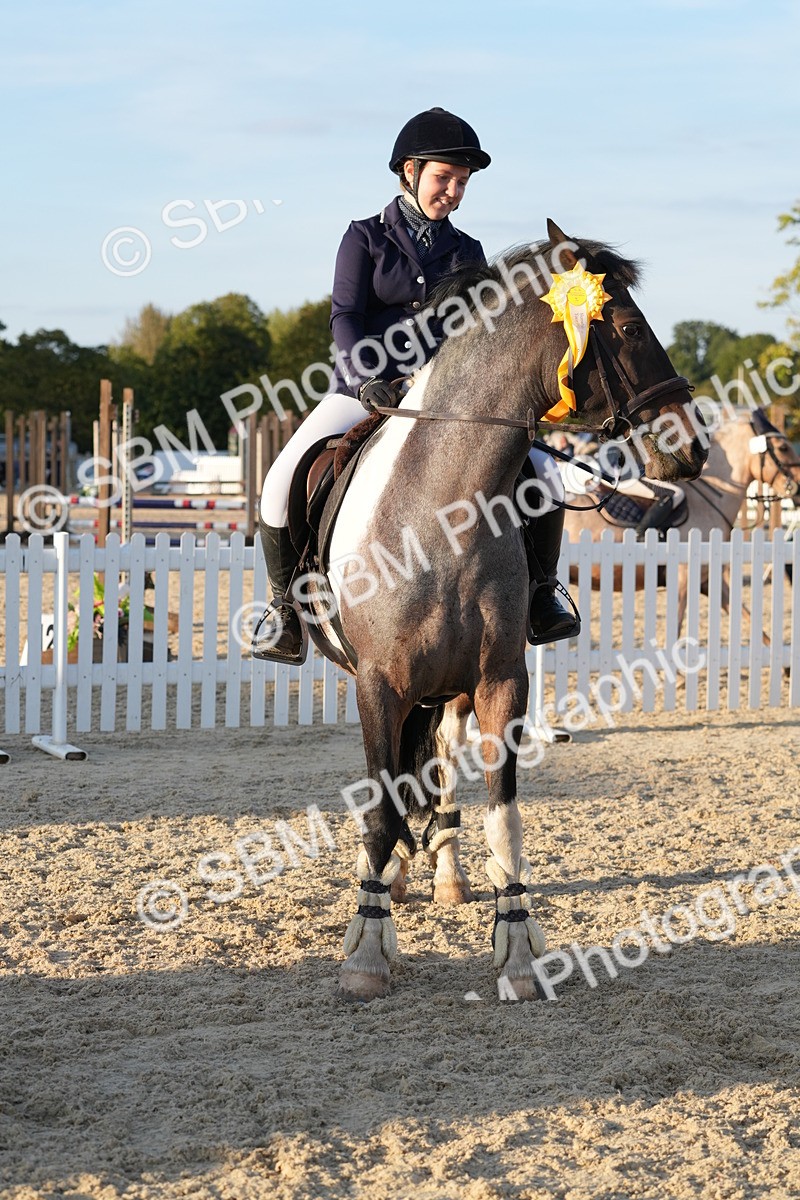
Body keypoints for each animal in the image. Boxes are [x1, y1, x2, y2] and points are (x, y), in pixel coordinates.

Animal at [299, 220, 707, 1002]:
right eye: (626, 326)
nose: (691, 447)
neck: (441, 510)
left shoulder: (499, 683)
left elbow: (504, 815)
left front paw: (516, 951)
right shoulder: (378, 684)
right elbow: (379, 807)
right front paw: (366, 952)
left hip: (448, 692)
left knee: (437, 772)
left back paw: (442, 874)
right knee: (401, 785)